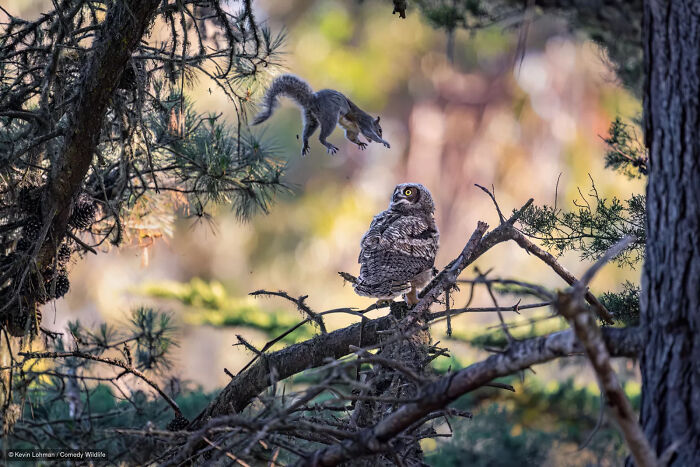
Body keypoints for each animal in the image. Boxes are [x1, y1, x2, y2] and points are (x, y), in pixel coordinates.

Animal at [252, 74, 390, 156]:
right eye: (380, 130)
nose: (380, 135)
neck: (369, 120)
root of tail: (313, 100)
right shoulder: (364, 123)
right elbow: (369, 133)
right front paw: (384, 141)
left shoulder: (352, 131)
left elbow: (351, 137)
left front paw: (360, 143)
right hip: (330, 118)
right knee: (321, 137)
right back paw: (327, 144)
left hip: (311, 118)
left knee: (307, 131)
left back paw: (305, 143)